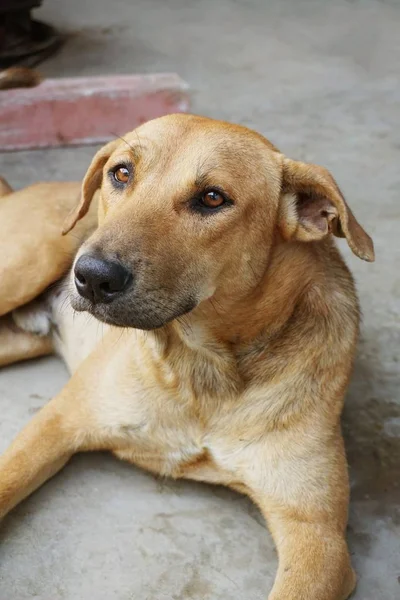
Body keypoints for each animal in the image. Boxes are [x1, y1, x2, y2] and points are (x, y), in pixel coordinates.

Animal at [0, 113, 376, 600]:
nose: (91, 277)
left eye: (213, 198)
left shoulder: (318, 535)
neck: (201, 369)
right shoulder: (58, 423)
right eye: (121, 173)